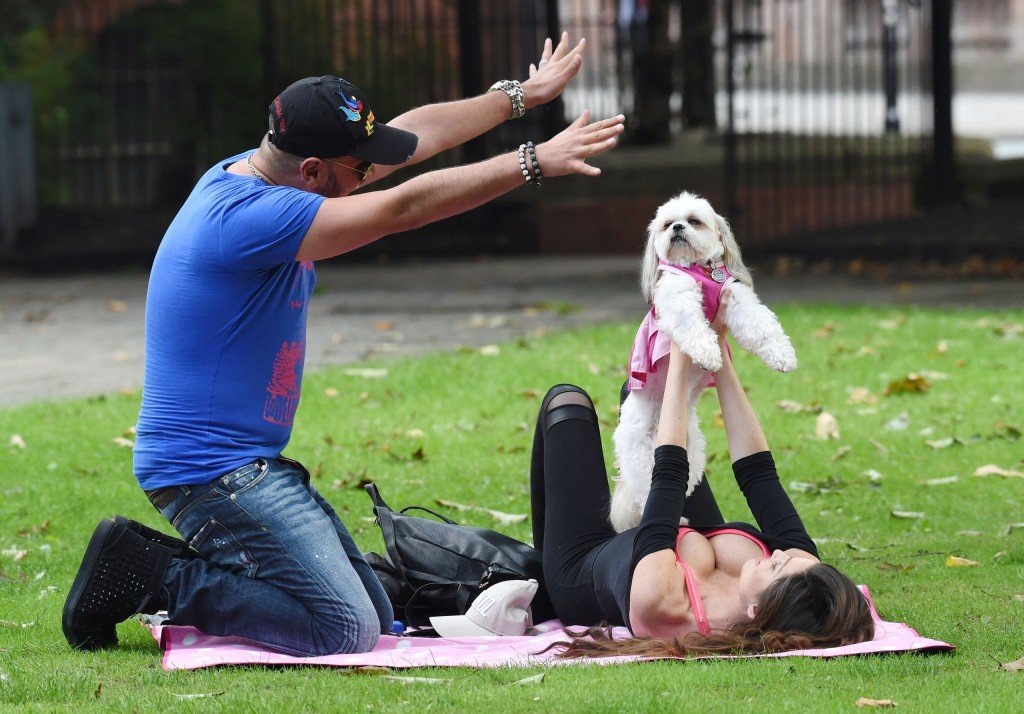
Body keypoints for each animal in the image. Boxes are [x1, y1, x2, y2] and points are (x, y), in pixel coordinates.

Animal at [610, 192, 794, 532]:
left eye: (694, 221)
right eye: (667, 224)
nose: (678, 228)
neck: (700, 270)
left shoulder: (734, 296)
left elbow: (761, 324)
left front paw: (782, 355)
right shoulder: (677, 295)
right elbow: (691, 323)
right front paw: (708, 352)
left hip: (691, 452)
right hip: (640, 453)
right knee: (645, 492)